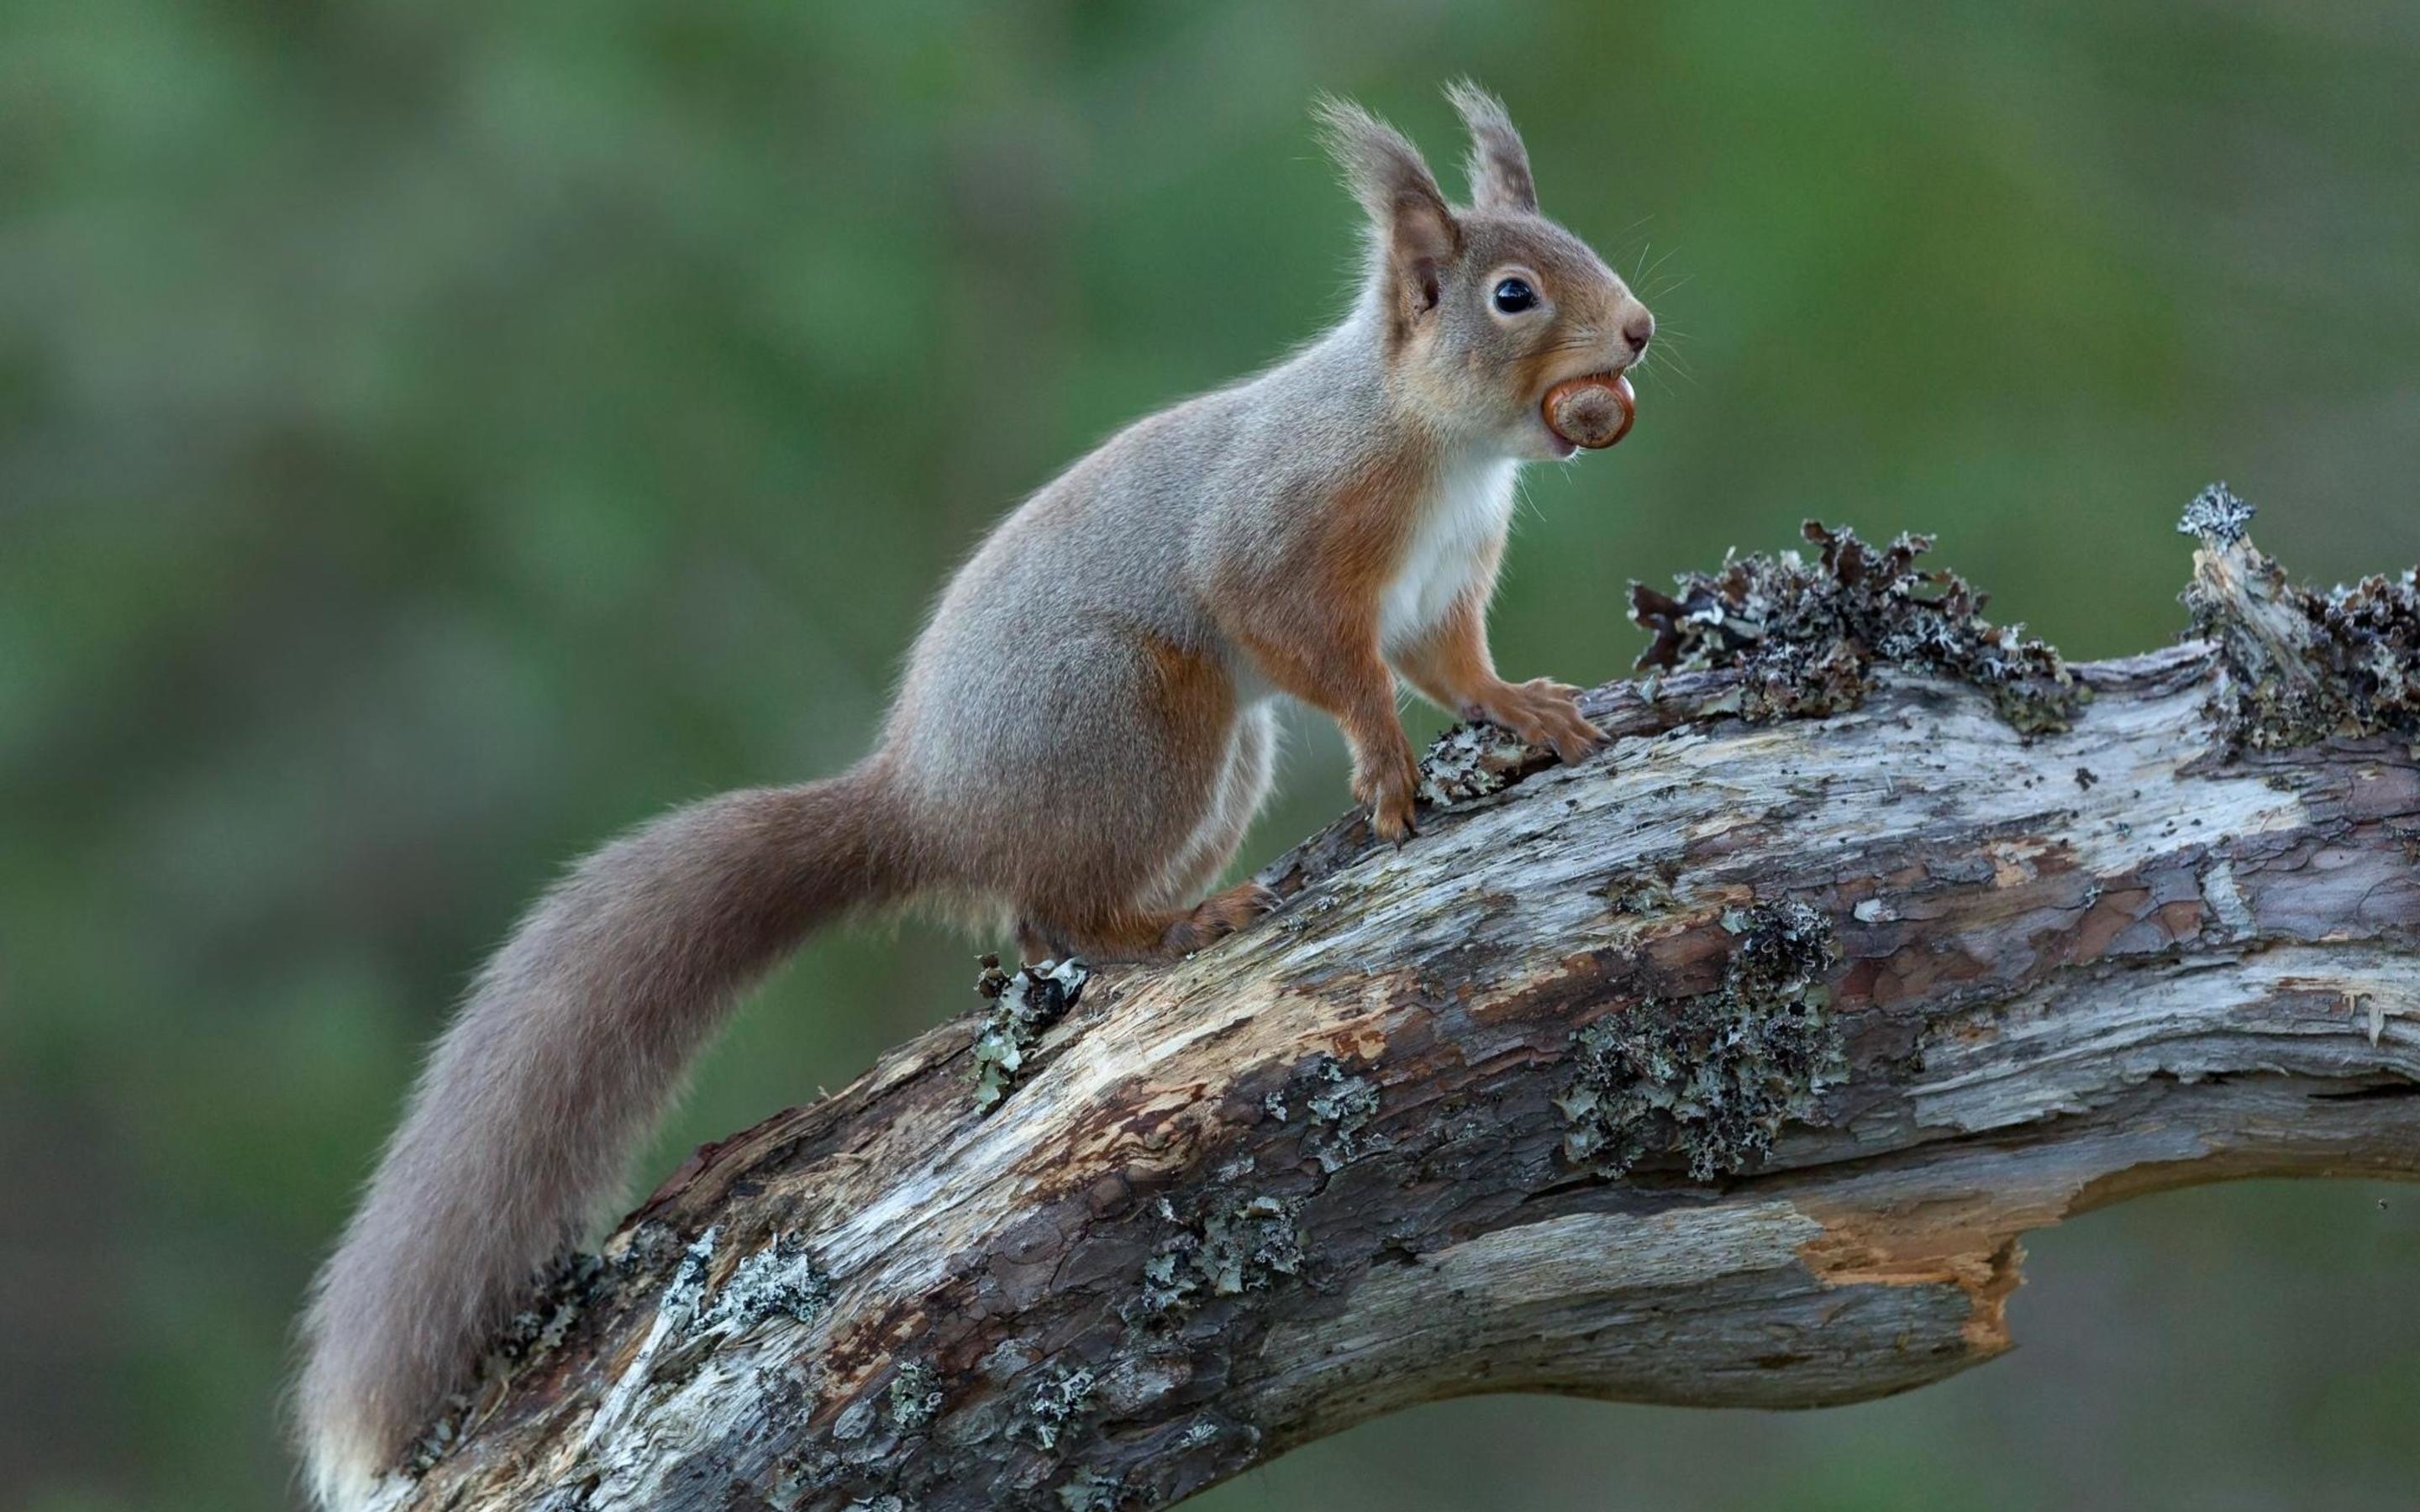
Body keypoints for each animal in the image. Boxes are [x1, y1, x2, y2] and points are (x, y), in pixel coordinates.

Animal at [297, 85, 1645, 1509]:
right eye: (1511, 294)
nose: (1638, 332)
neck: (1438, 445)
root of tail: (923, 801)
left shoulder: (1443, 586)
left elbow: (1457, 668)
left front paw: (1528, 710)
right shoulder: (1282, 538)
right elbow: (1312, 649)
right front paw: (1387, 766)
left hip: (1211, 763)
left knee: (1040, 922)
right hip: (1144, 715)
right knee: (1058, 911)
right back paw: (1174, 928)